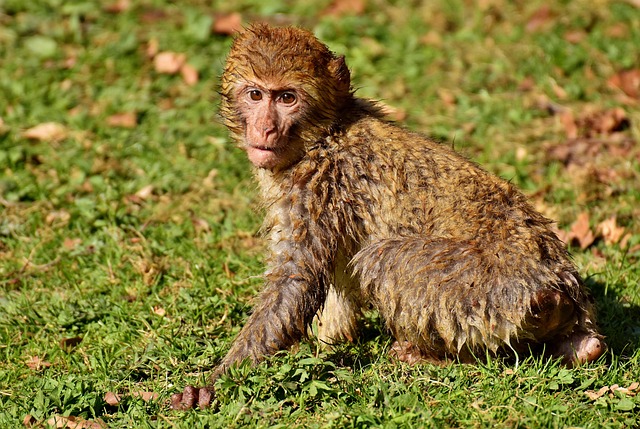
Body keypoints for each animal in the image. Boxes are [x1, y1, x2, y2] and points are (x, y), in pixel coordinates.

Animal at [169, 22, 600, 408]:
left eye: (287, 98)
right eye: (256, 95)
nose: (265, 127)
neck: (323, 135)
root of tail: (562, 287)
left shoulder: (316, 186)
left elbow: (295, 281)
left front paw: (218, 380)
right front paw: (328, 341)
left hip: (492, 291)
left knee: (381, 259)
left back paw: (428, 355)